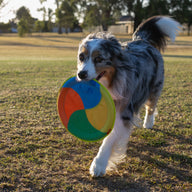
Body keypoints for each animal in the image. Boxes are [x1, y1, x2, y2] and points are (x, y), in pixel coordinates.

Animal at [76, 15, 180, 176]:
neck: (110, 83)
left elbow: (110, 139)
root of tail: (142, 40)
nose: (81, 74)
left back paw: (148, 123)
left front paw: (98, 164)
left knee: (151, 106)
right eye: (81, 57)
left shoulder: (123, 111)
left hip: (155, 87)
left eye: (99, 59)